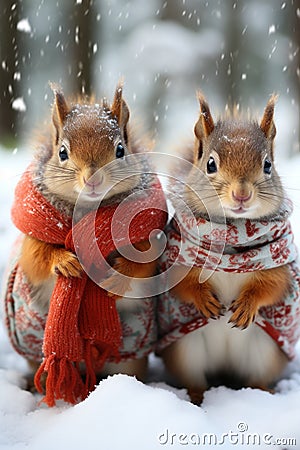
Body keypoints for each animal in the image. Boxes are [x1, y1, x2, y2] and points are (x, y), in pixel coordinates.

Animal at [5, 83, 166, 404]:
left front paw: (116, 278)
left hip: (129, 354)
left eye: (121, 149)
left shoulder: (146, 237)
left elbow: (144, 264)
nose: (92, 178)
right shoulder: (33, 239)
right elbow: (37, 259)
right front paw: (65, 262)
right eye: (62, 152)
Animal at [158, 93, 298, 402]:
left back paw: (263, 392)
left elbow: (272, 285)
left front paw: (247, 305)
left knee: (256, 377)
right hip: (187, 351)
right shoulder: (178, 256)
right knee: (194, 378)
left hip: (263, 353)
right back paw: (196, 397)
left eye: (268, 165)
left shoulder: (278, 261)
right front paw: (204, 300)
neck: (232, 238)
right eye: (210, 164)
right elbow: (181, 284)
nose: (241, 194)